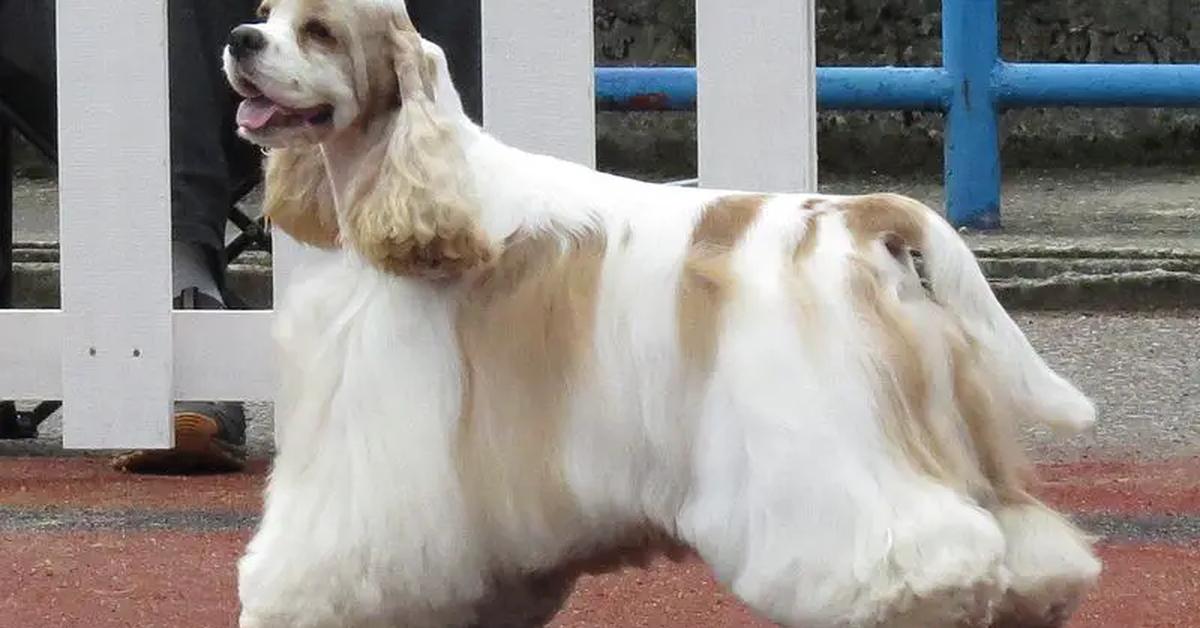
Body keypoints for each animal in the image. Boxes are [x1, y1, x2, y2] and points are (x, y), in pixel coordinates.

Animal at [220, 2, 1099, 624]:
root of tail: (863, 215)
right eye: (266, 10)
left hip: (828, 437)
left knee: (915, 544)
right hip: (952, 424)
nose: (239, 38)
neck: (415, 185)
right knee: (1023, 536)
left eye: (320, 31)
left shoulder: (381, 422)